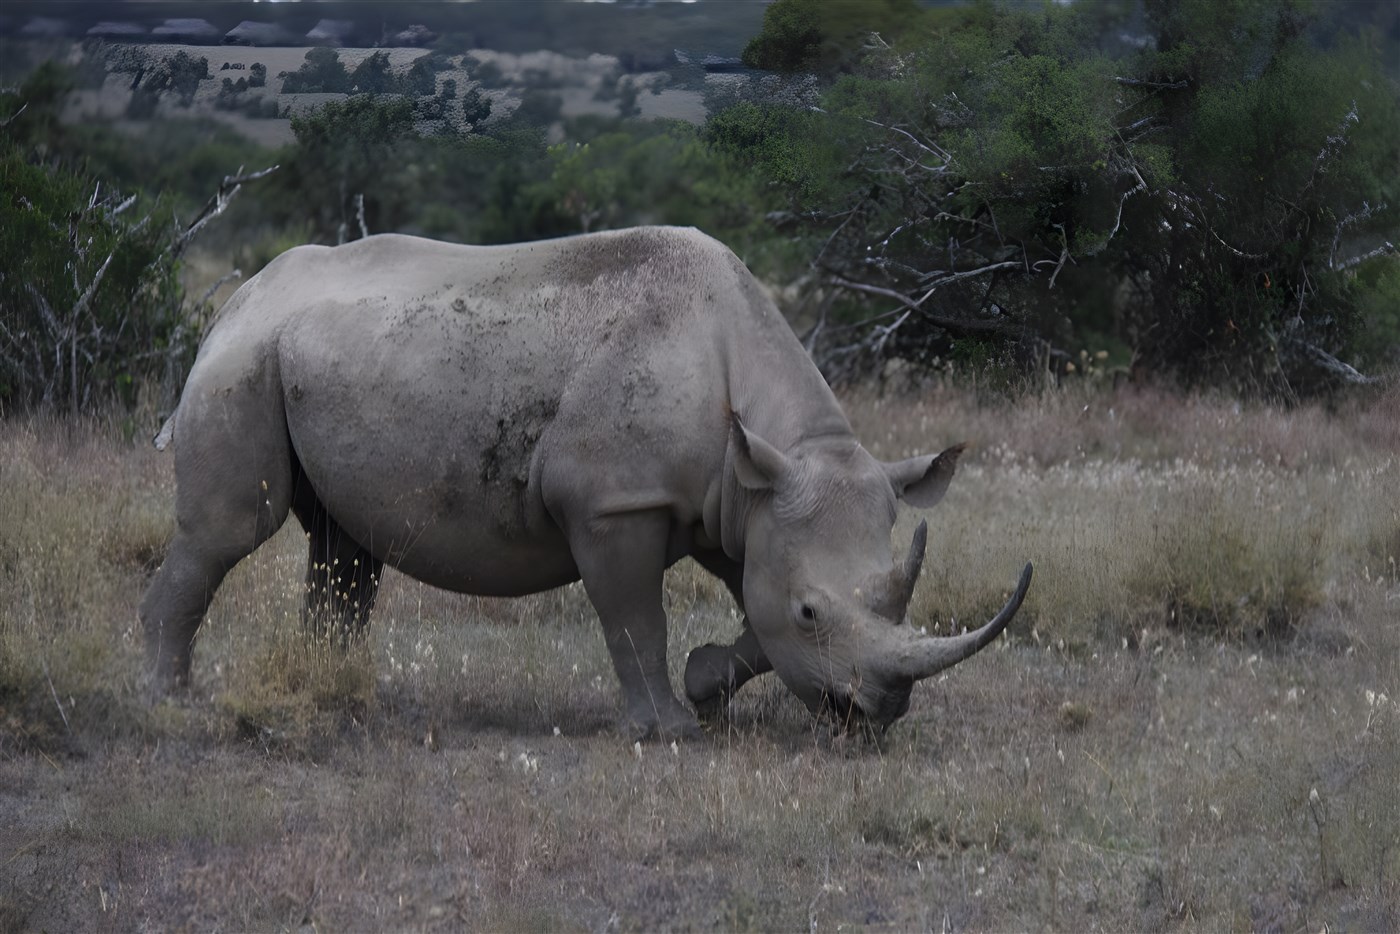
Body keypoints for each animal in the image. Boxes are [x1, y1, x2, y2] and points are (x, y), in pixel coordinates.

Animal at [141, 226, 1032, 739]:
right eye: (816, 612)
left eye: (898, 598)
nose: (879, 710)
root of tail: (241, 296)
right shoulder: (617, 502)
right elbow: (637, 619)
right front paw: (669, 729)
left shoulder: (742, 499)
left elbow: (755, 609)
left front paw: (707, 687)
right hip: (241, 363)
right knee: (231, 533)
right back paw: (176, 707)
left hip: (315, 354)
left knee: (344, 545)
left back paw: (340, 697)